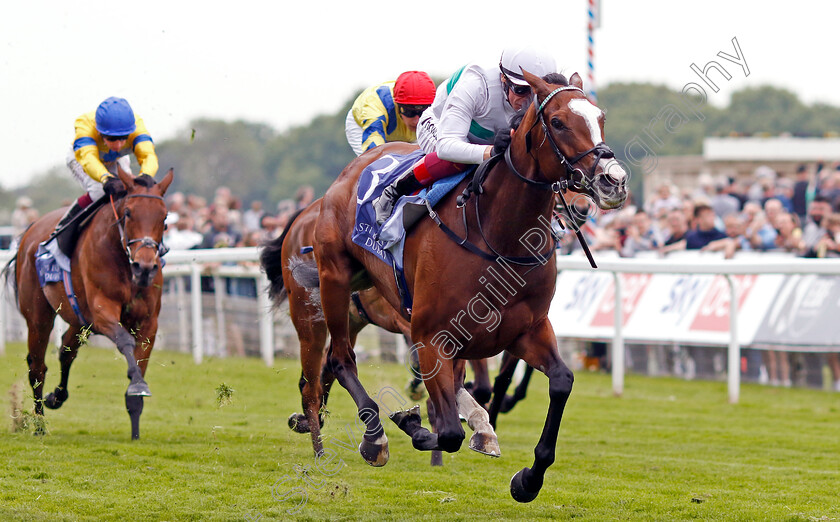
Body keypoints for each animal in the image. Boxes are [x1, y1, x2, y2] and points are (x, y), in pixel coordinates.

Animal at [5, 168, 174, 438]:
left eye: (164, 216)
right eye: (128, 213)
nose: (145, 267)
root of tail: (30, 231)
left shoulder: (149, 323)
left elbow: (140, 363)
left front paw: (136, 428)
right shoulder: (102, 311)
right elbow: (125, 341)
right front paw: (137, 384)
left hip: (79, 320)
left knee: (65, 351)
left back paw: (56, 397)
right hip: (39, 316)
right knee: (37, 367)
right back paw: (39, 425)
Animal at [306, 70, 624, 500]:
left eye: (600, 117)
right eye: (557, 122)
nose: (613, 181)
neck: (499, 236)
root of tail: (357, 165)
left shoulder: (526, 330)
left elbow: (560, 381)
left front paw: (528, 478)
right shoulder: (430, 336)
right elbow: (448, 432)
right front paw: (413, 423)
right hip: (335, 278)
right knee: (340, 358)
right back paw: (373, 437)